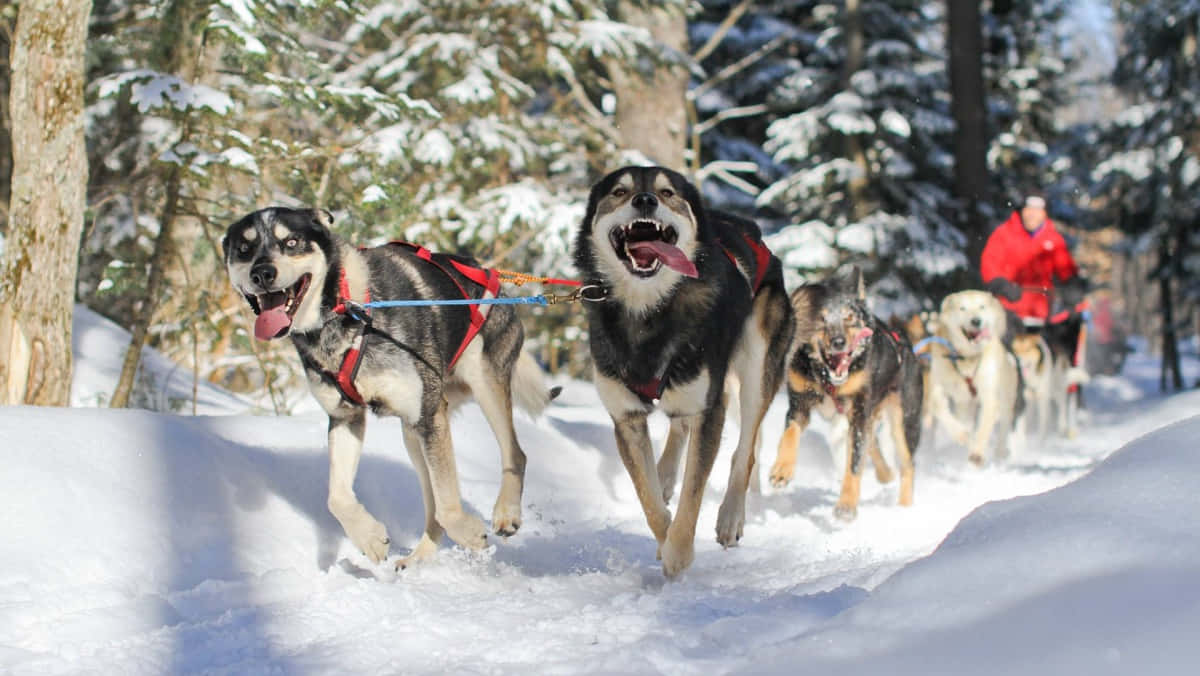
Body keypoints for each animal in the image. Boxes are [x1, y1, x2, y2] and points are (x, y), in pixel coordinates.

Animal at [573, 166, 796, 578]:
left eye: (667, 192)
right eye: (619, 191)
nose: (645, 200)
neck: (648, 313)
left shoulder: (710, 410)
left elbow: (695, 490)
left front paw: (678, 553)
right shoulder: (627, 417)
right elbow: (648, 499)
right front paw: (664, 537)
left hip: (755, 366)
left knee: (745, 450)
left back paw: (730, 517)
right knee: (678, 429)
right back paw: (664, 474)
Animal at [768, 271, 926, 523]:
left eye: (849, 317)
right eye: (821, 319)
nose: (838, 342)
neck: (828, 380)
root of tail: (904, 342)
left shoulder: (859, 414)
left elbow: (854, 464)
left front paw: (846, 506)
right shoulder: (799, 405)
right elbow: (790, 435)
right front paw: (782, 468)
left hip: (904, 422)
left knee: (907, 465)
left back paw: (904, 506)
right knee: (873, 445)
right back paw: (885, 474)